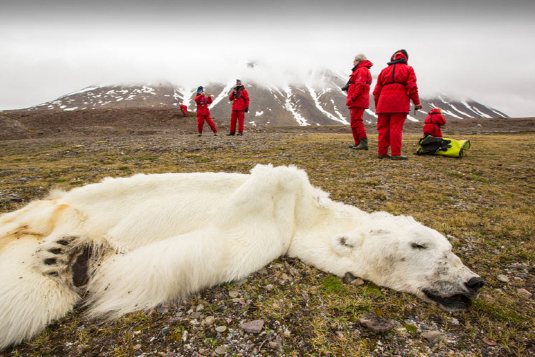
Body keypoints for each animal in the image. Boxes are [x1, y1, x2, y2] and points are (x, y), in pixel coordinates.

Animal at [0, 165, 484, 350]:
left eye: (450, 248)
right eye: (421, 245)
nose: (474, 281)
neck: (300, 213)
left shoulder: (266, 236)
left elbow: (197, 253)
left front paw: (79, 260)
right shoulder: (271, 206)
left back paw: (62, 256)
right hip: (65, 204)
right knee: (30, 217)